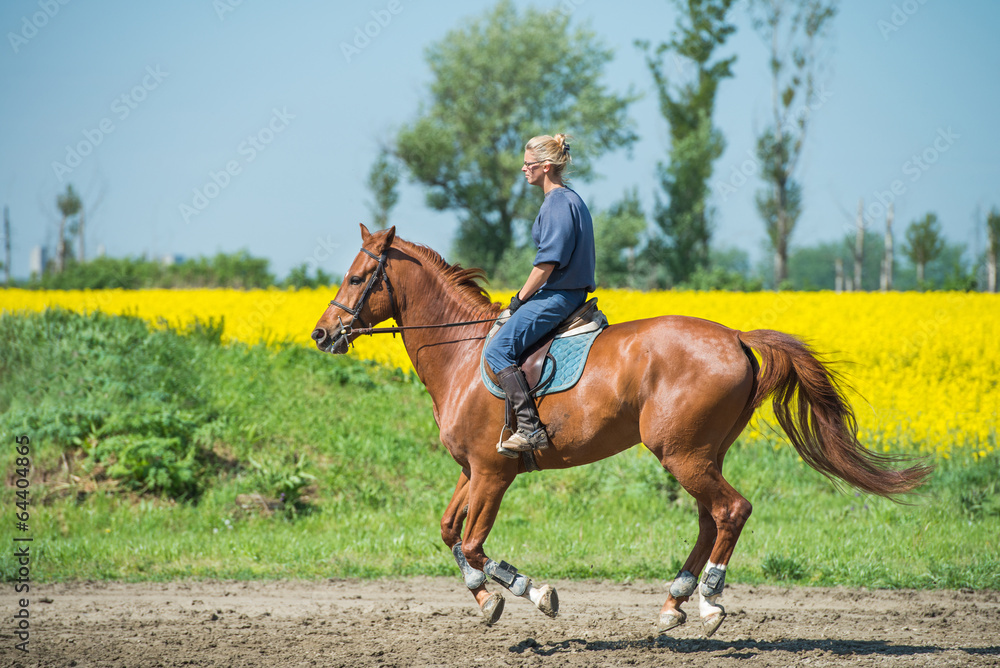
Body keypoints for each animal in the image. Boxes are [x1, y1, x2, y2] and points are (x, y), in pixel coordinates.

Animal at [310, 226, 928, 636]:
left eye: (359, 277)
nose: (321, 333)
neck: (463, 353)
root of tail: (735, 336)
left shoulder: (492, 473)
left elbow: (473, 543)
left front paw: (532, 593)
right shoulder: (473, 470)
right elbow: (449, 534)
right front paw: (485, 599)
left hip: (682, 454)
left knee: (731, 511)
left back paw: (708, 603)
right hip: (700, 454)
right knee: (710, 518)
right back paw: (673, 603)